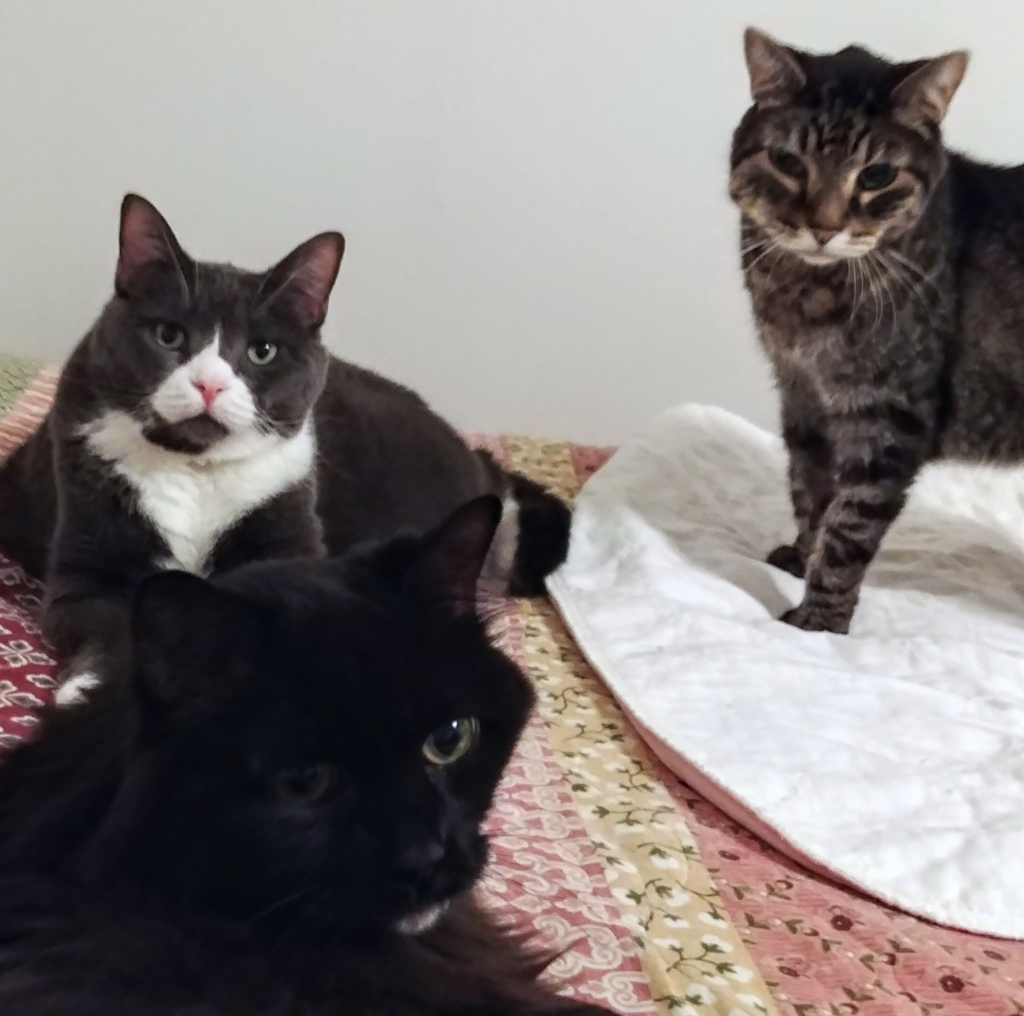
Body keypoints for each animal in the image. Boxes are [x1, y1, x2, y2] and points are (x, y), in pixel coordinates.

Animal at [0, 195, 570, 688]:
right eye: (168, 336)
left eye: (262, 351)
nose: (209, 384)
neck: (195, 470)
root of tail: (482, 463)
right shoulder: (87, 556)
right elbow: (109, 627)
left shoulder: (290, 515)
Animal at [728, 29, 1024, 634]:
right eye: (787, 161)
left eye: (877, 176)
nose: (823, 227)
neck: (805, 294)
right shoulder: (804, 399)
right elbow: (811, 493)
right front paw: (801, 556)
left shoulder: (888, 419)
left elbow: (849, 528)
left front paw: (818, 621)